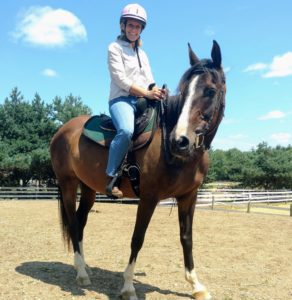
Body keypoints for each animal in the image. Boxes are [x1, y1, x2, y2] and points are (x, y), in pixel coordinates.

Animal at [50, 40, 226, 300]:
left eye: (210, 91)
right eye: (184, 91)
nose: (180, 141)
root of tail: (62, 131)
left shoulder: (189, 196)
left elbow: (187, 238)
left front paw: (196, 285)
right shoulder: (148, 197)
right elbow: (137, 238)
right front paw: (128, 287)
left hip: (89, 188)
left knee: (80, 223)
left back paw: (84, 267)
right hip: (68, 183)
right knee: (73, 223)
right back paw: (81, 274)